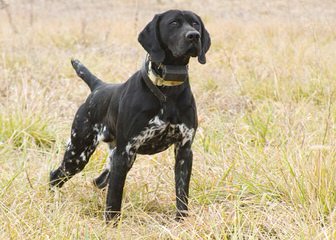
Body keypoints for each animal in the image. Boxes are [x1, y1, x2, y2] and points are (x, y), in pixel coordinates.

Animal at [49, 9, 210, 223]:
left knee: (98, 181)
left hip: (114, 158)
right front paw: (111, 224)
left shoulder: (184, 151)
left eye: (195, 24)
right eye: (174, 23)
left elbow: (182, 193)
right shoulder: (124, 153)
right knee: (55, 176)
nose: (194, 36)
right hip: (79, 153)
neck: (167, 91)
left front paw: (181, 221)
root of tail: (99, 87)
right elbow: (115, 197)